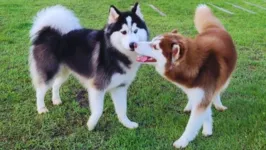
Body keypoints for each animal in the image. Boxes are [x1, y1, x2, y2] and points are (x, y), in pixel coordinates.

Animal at [135, 4, 237, 148]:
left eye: (154, 46)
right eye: (153, 41)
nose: (133, 44)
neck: (197, 67)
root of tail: (214, 28)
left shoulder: (204, 95)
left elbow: (192, 124)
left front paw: (183, 141)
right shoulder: (200, 95)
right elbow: (205, 112)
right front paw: (207, 128)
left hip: (225, 79)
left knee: (218, 91)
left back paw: (218, 104)